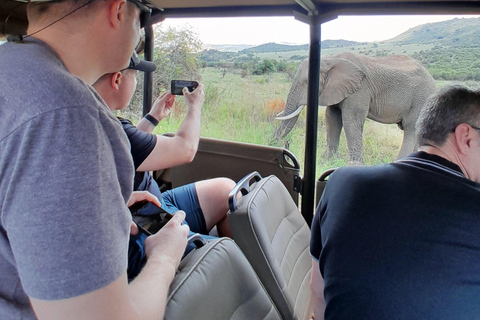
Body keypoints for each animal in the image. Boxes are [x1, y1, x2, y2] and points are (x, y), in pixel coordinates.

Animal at [274, 52, 436, 164]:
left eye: (307, 82)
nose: (282, 145)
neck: (331, 58)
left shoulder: (359, 90)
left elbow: (351, 121)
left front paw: (353, 165)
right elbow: (332, 119)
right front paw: (327, 162)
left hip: (421, 97)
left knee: (410, 128)